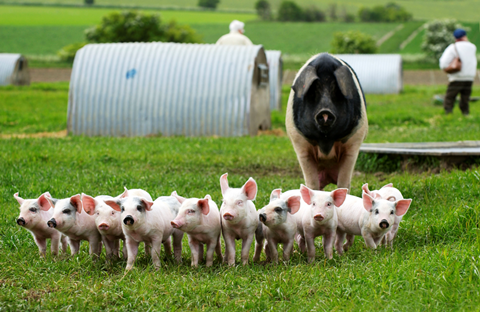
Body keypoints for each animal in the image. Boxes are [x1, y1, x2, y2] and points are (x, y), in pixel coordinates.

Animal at [284, 52, 368, 191]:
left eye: (336, 90)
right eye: (313, 90)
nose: (325, 111)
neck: (326, 141)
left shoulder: (354, 142)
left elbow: (343, 183)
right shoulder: (300, 144)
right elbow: (312, 184)